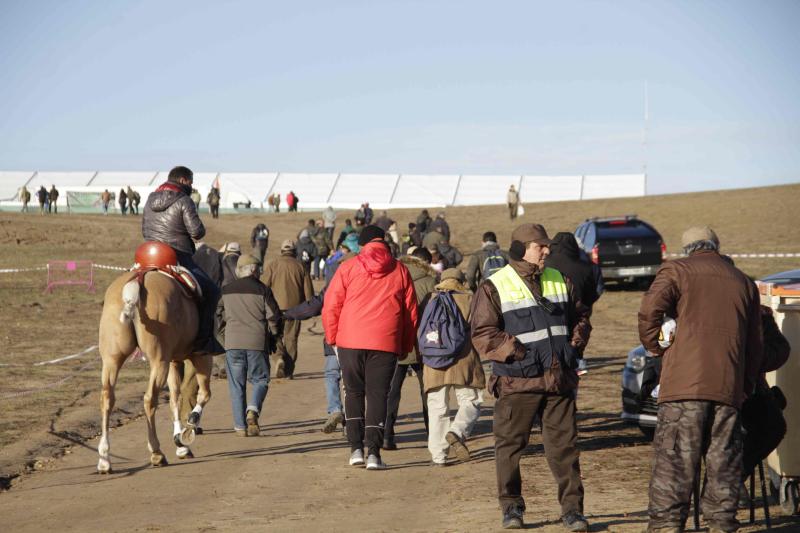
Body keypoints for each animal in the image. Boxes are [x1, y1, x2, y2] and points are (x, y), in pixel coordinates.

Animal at [97, 251, 212, 472]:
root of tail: (138, 281)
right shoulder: (202, 356)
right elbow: (203, 394)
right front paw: (189, 427)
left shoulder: (174, 361)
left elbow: (176, 398)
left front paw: (181, 444)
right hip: (159, 362)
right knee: (150, 399)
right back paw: (157, 452)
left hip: (112, 360)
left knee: (107, 398)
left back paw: (104, 458)